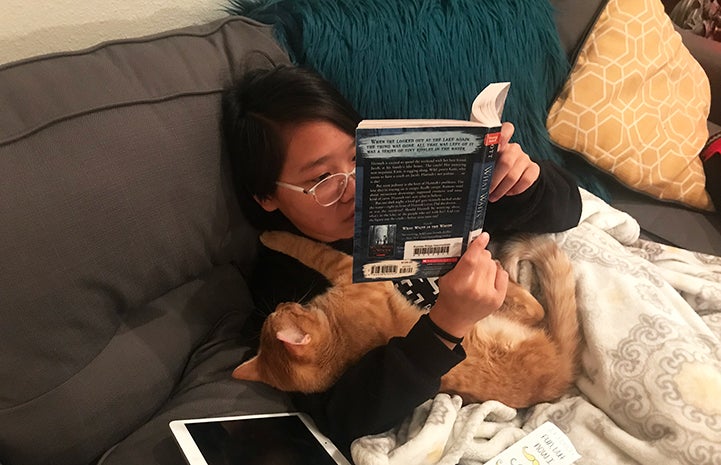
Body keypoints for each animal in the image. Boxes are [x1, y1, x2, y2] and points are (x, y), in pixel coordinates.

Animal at [232, 230, 580, 408]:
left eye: (278, 311)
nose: (282, 302)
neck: (340, 344)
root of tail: (561, 375)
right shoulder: (344, 269)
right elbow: (306, 247)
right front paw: (272, 235)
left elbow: (306, 248)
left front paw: (269, 235)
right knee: (534, 308)